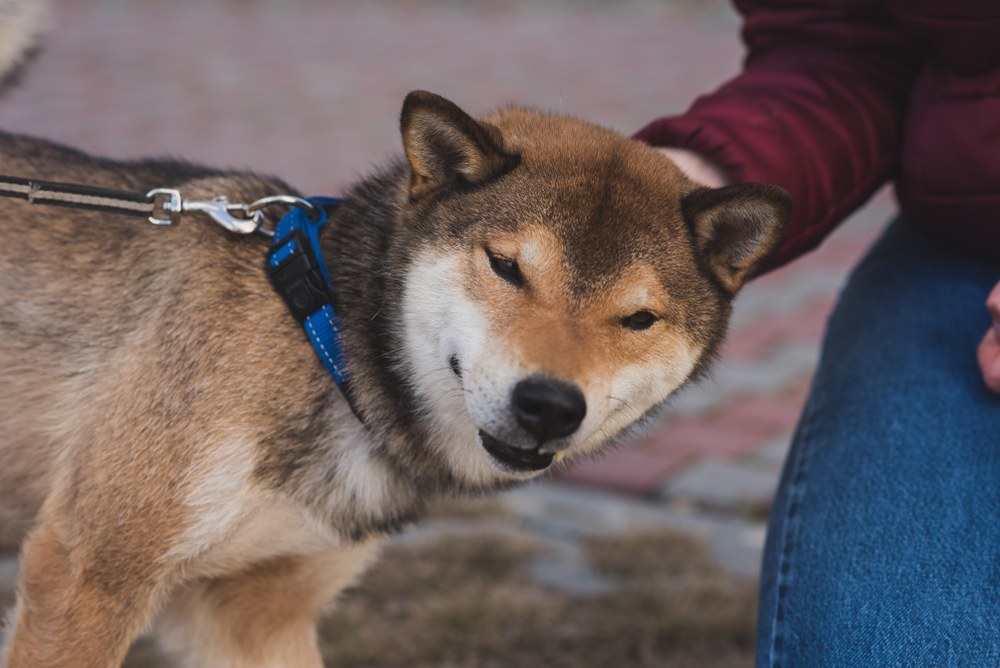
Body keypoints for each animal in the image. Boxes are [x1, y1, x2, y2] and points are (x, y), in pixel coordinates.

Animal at [0, 6, 788, 668]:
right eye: (507, 267)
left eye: (638, 319)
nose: (549, 405)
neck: (324, 345)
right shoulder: (88, 575)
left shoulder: (254, 617)